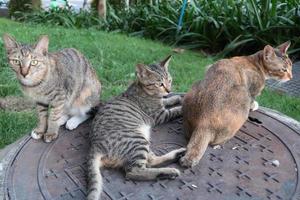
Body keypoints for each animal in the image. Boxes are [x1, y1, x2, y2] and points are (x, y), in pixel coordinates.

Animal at [86, 55, 185, 200]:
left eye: (169, 80)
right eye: (159, 84)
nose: (169, 90)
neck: (141, 88)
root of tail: (95, 146)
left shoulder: (162, 104)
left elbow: (168, 100)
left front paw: (178, 97)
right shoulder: (160, 115)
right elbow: (175, 110)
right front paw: (182, 105)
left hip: (143, 142)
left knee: (151, 160)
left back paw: (178, 155)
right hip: (137, 140)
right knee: (134, 171)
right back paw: (168, 172)